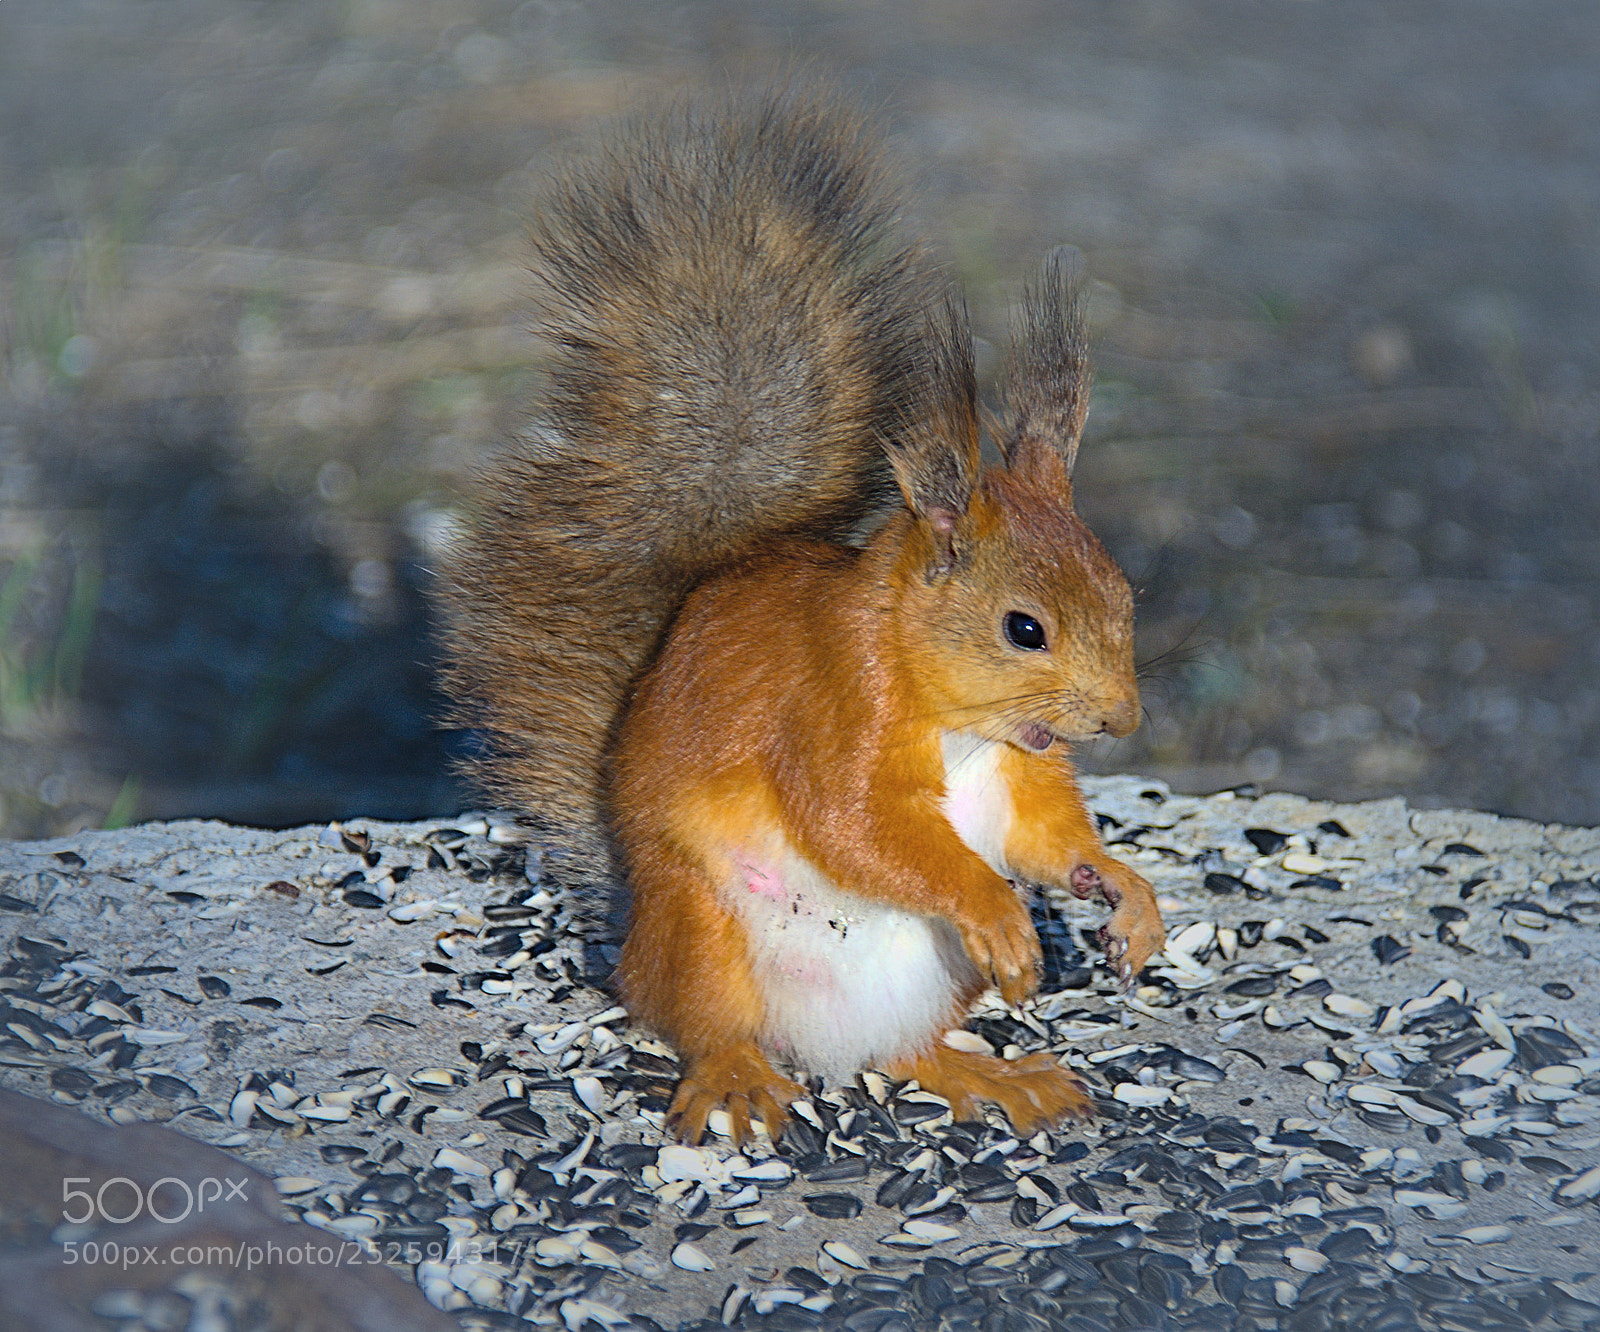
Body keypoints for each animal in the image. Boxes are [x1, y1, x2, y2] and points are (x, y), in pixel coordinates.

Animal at [438, 91, 1168, 1145]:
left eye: (1122, 594)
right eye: (1023, 629)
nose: (1121, 720)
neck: (956, 717)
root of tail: (820, 1046)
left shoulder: (1023, 766)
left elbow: (1047, 838)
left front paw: (1124, 890)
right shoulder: (829, 708)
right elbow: (852, 823)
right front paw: (996, 909)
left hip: (931, 979)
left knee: (905, 1052)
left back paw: (991, 1077)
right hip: (702, 932)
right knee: (708, 1023)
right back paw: (739, 1079)